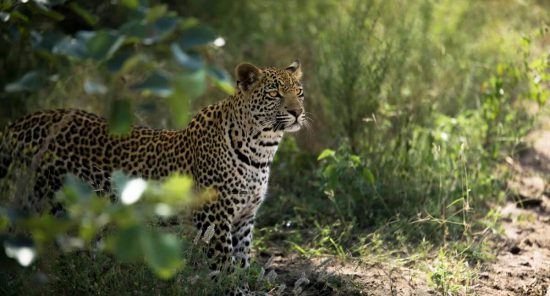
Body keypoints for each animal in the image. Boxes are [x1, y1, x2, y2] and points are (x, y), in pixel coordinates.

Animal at [0, 60, 306, 272]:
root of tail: (18, 123)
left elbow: (242, 264)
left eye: (300, 92)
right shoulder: (214, 218)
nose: (298, 112)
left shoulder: (245, 218)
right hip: (44, 204)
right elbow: (224, 266)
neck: (261, 150)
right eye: (275, 94)